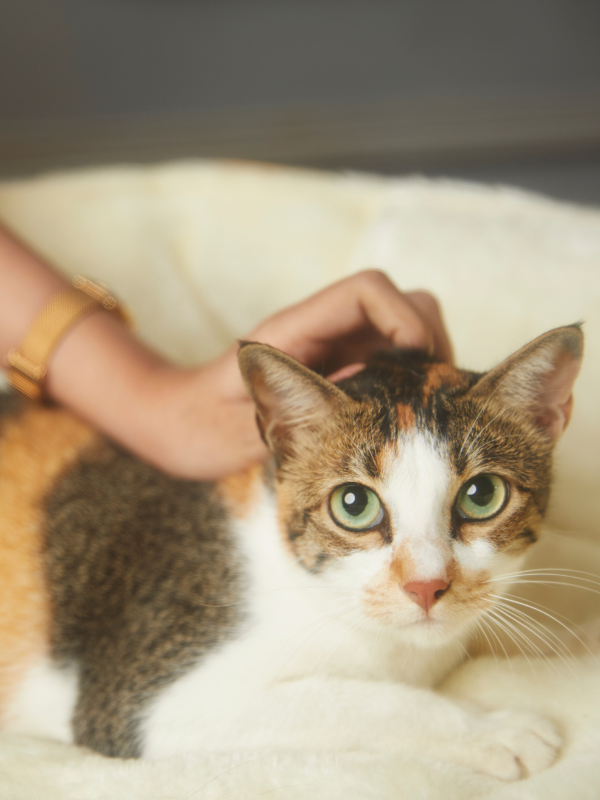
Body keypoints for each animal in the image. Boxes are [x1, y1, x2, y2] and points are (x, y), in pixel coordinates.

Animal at [0, 322, 580, 780]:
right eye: (353, 504)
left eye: (482, 496)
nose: (426, 585)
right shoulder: (138, 693)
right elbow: (355, 701)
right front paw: (496, 730)